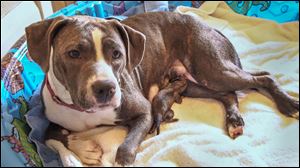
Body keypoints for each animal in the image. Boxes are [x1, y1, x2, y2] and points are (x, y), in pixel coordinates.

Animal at [25, 11, 298, 165]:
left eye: (117, 54)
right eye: (74, 53)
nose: (106, 88)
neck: (85, 113)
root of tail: (208, 25)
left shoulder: (144, 112)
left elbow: (126, 147)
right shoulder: (50, 118)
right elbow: (48, 136)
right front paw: (80, 151)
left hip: (214, 70)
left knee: (263, 78)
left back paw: (289, 104)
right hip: (195, 84)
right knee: (228, 94)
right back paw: (234, 121)